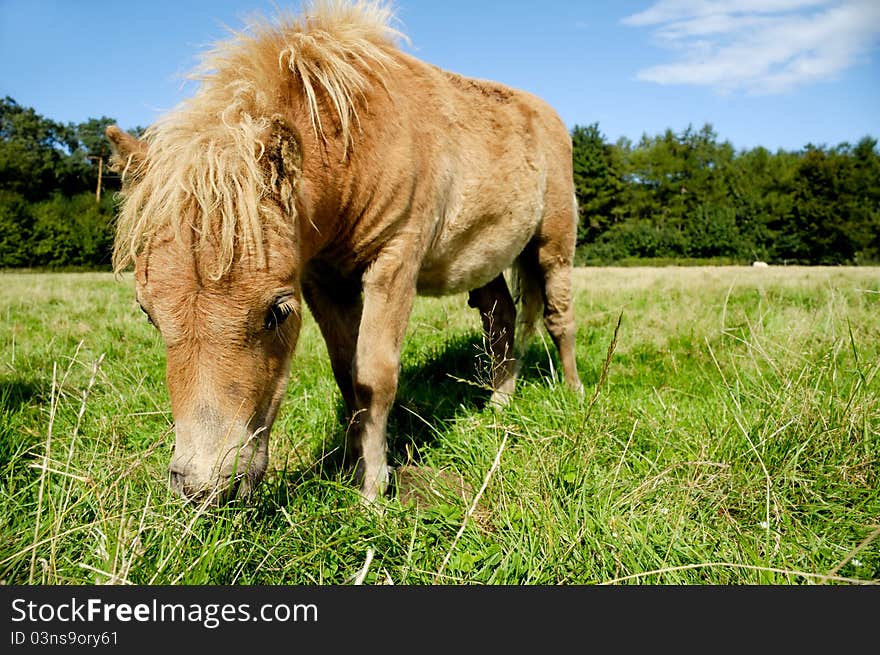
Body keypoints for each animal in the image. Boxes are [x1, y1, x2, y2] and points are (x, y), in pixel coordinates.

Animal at [106, 0, 580, 504]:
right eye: (149, 313)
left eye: (276, 312)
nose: (204, 487)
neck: (358, 141)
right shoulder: (322, 279)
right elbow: (345, 373)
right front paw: (354, 468)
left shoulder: (393, 263)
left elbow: (374, 375)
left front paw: (373, 489)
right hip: (485, 262)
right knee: (501, 320)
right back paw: (498, 404)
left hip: (553, 247)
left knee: (558, 317)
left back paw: (573, 393)